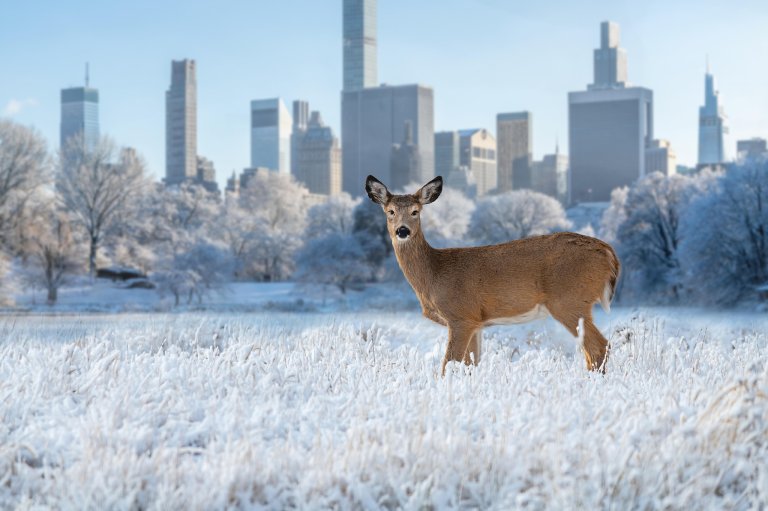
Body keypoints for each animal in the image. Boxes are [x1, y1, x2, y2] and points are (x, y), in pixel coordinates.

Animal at [365, 175, 621, 375]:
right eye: (390, 211)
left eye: (415, 211)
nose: (402, 230)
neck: (433, 274)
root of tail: (609, 253)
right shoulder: (476, 323)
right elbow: (470, 365)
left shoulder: (461, 316)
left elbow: (448, 365)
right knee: (593, 351)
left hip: (569, 301)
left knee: (599, 347)